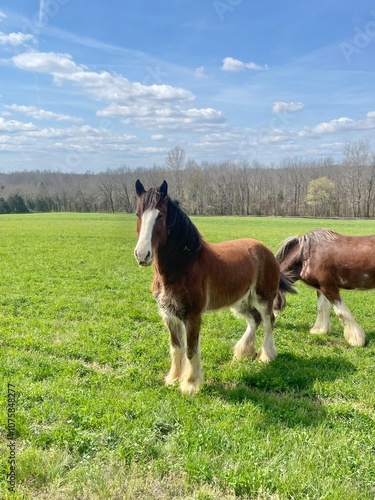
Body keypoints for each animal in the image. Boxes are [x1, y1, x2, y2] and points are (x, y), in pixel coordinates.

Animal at [134, 180, 296, 394]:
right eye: (137, 214)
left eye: (160, 215)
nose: (142, 255)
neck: (184, 265)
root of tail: (266, 251)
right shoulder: (169, 315)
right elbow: (176, 347)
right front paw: (173, 379)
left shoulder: (192, 316)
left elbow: (191, 350)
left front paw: (191, 385)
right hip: (240, 302)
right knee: (255, 319)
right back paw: (243, 353)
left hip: (263, 298)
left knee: (269, 321)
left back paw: (266, 356)